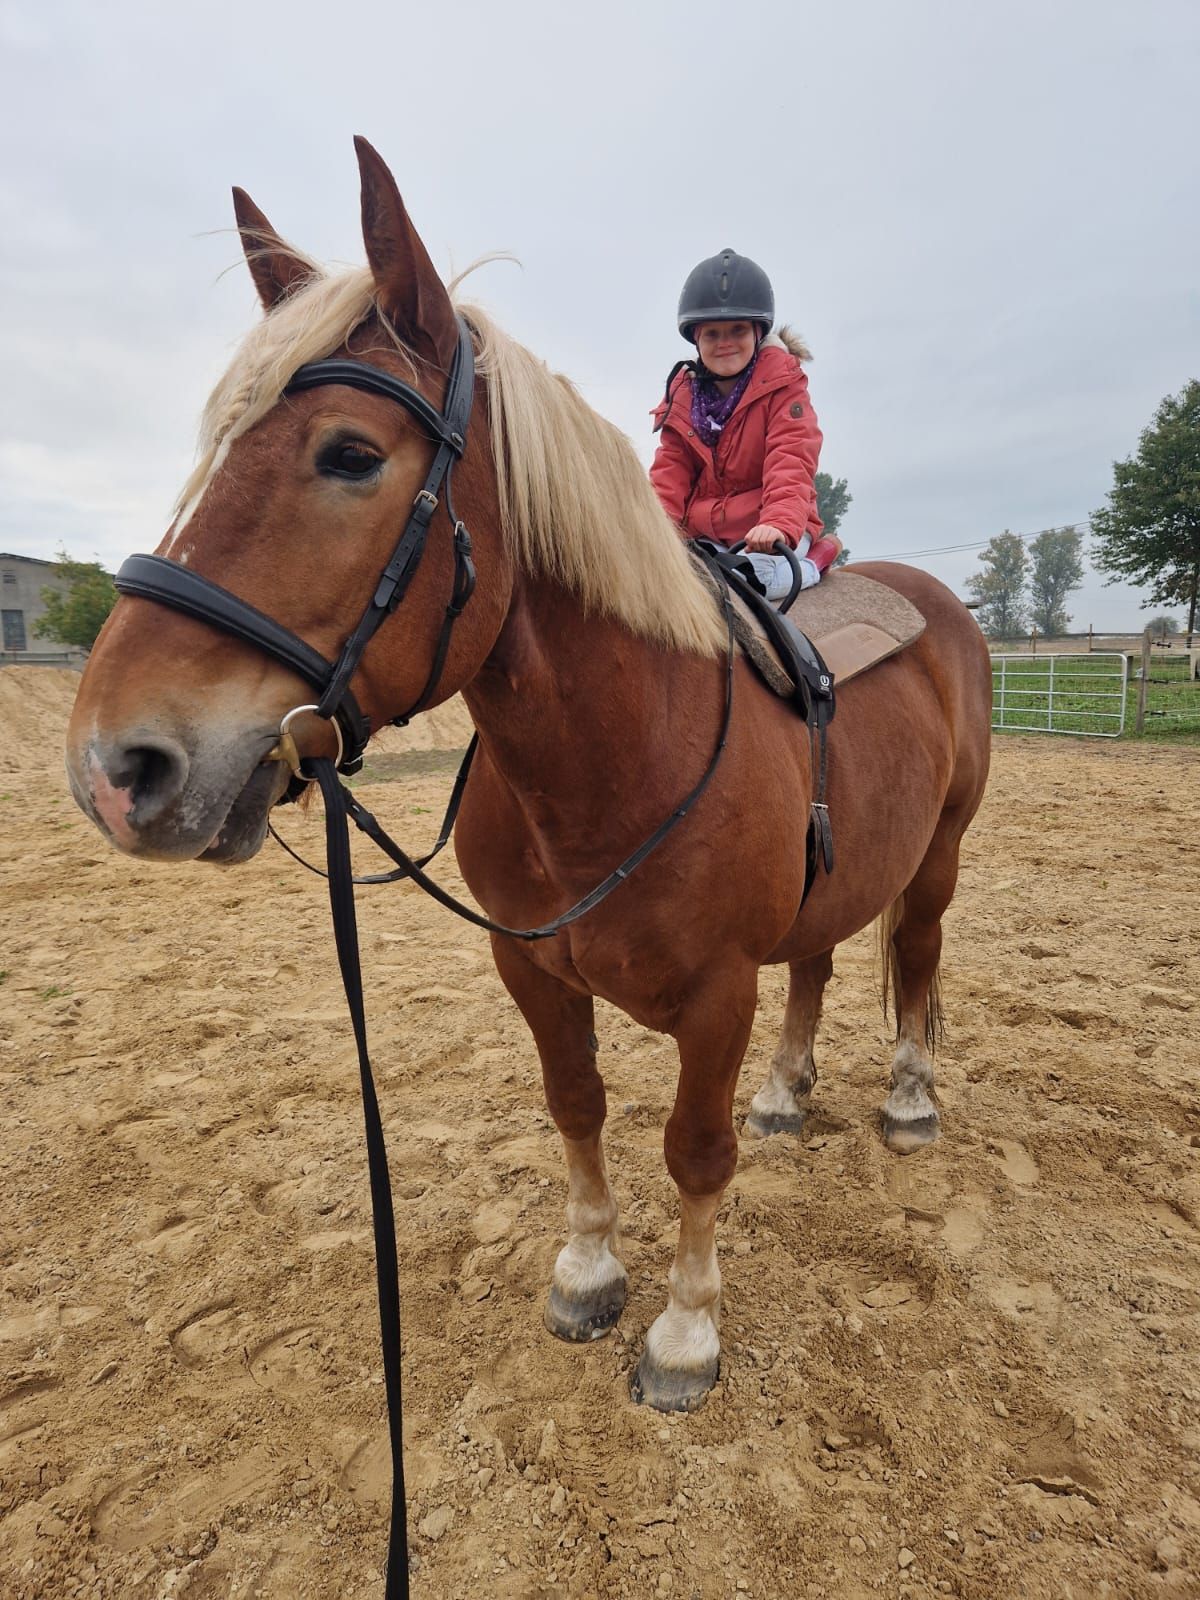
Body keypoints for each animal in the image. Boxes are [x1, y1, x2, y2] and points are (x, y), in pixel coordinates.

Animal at [66, 138, 992, 1416]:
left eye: (351, 454)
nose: (115, 767)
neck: (615, 760)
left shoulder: (719, 994)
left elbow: (694, 1147)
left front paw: (684, 1333)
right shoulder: (532, 971)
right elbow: (578, 1105)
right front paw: (589, 1272)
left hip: (940, 849)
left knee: (919, 952)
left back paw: (907, 1098)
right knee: (817, 959)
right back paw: (789, 1089)